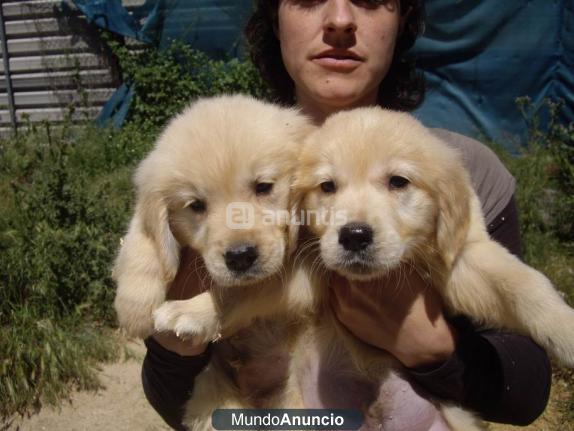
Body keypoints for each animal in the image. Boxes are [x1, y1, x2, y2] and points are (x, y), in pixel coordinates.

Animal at [112, 95, 316, 431]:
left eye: (263, 187)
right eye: (196, 205)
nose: (240, 256)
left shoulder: (310, 272)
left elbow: (243, 291)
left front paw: (189, 312)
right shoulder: (145, 217)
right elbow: (141, 239)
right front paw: (135, 308)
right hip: (213, 391)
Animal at [292, 107, 574, 431]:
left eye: (398, 181)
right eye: (327, 186)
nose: (354, 235)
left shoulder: (463, 257)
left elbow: (525, 282)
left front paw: (566, 329)